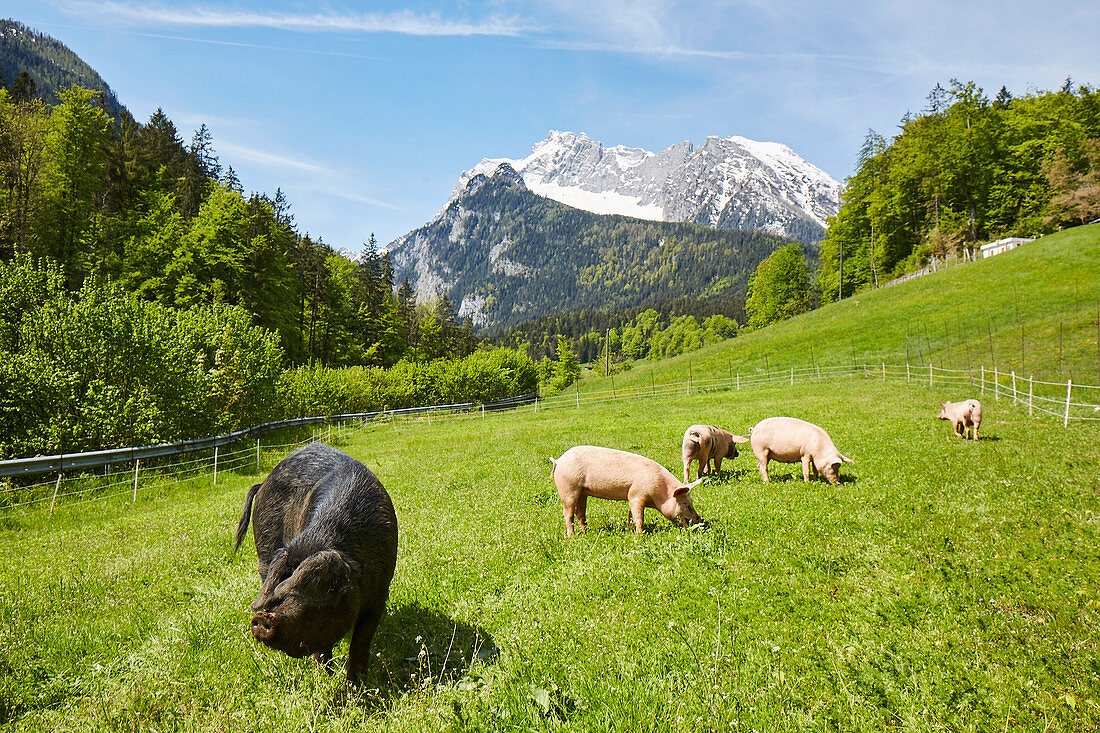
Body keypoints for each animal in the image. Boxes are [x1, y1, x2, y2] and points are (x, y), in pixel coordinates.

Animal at [233, 440, 400, 677]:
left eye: (323, 594)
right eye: (280, 591)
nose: (262, 619)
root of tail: (263, 482)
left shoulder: (380, 593)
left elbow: (361, 642)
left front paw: (355, 684)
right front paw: (325, 676)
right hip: (264, 548)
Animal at [550, 442, 704, 534]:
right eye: (685, 504)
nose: (700, 519)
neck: (659, 493)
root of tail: (559, 460)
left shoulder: (631, 496)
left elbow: (631, 516)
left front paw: (631, 531)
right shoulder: (637, 494)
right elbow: (639, 517)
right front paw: (640, 535)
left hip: (582, 491)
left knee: (580, 513)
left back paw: (585, 532)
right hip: (568, 488)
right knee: (568, 514)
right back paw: (572, 537)